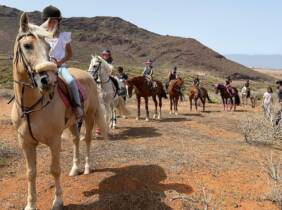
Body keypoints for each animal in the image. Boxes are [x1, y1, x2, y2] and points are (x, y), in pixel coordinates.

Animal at [11, 13, 108, 210]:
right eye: (27, 45)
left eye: (48, 47)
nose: (47, 80)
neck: (31, 106)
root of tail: (88, 76)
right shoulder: (25, 143)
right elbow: (30, 173)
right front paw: (31, 204)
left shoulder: (54, 141)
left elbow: (55, 170)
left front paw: (58, 201)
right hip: (72, 123)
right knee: (76, 140)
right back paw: (75, 168)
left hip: (89, 116)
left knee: (87, 140)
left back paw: (86, 168)